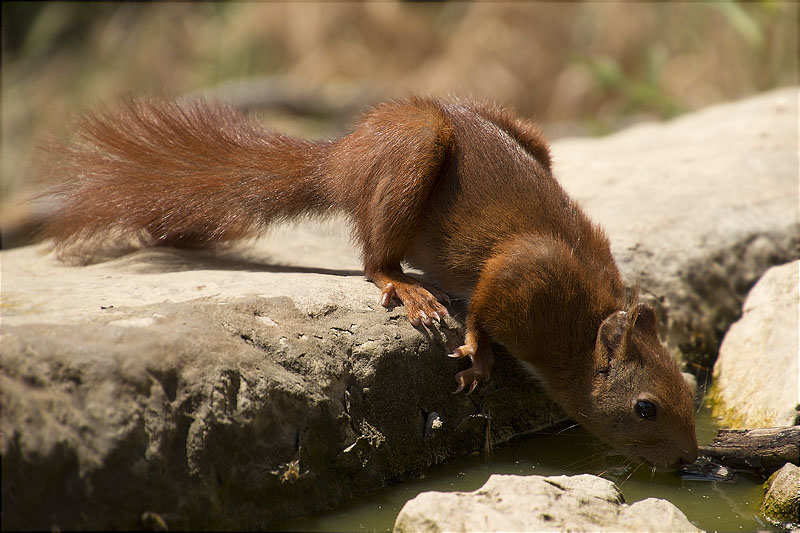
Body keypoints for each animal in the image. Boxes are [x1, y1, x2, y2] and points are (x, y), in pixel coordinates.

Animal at [40, 95, 696, 466]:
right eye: (645, 408)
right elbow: (484, 307)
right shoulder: (526, 271)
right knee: (375, 259)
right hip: (413, 155)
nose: (690, 461)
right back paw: (409, 290)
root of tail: (344, 158)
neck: (582, 328)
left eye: (691, 392)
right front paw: (478, 355)